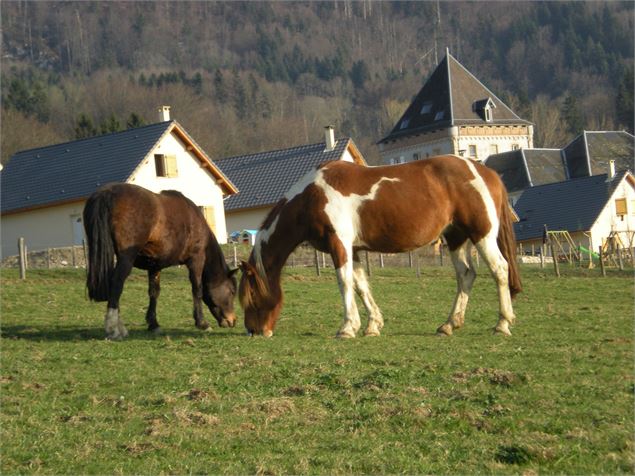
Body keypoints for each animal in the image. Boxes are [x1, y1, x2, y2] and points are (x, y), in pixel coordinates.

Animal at [84, 184, 238, 340]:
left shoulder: (154, 265)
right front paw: (202, 323)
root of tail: (108, 192)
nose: (233, 320)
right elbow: (197, 289)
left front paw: (153, 324)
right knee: (116, 283)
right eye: (232, 291)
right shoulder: (196, 260)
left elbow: (154, 293)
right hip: (126, 259)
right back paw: (114, 329)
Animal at [238, 156, 520, 338]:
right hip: (456, 238)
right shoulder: (353, 249)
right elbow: (361, 285)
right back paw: (449, 324)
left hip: (482, 235)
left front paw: (347, 328)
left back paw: (502, 324)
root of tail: (486, 173)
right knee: (465, 275)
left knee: (499, 269)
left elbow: (344, 283)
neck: (312, 196)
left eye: (251, 297)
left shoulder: (339, 244)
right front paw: (372, 325)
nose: (254, 331)